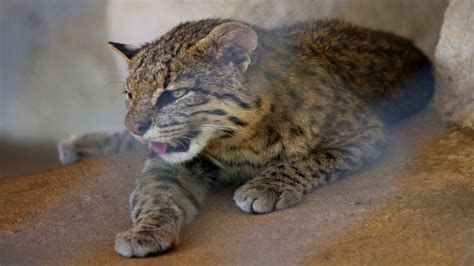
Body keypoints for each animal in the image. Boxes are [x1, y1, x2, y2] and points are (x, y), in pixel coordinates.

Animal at [58, 19, 434, 258]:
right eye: (129, 95)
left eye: (172, 95)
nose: (135, 126)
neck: (237, 138)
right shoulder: (171, 161)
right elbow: (155, 192)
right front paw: (146, 231)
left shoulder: (364, 132)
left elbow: (311, 158)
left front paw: (265, 186)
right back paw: (79, 143)